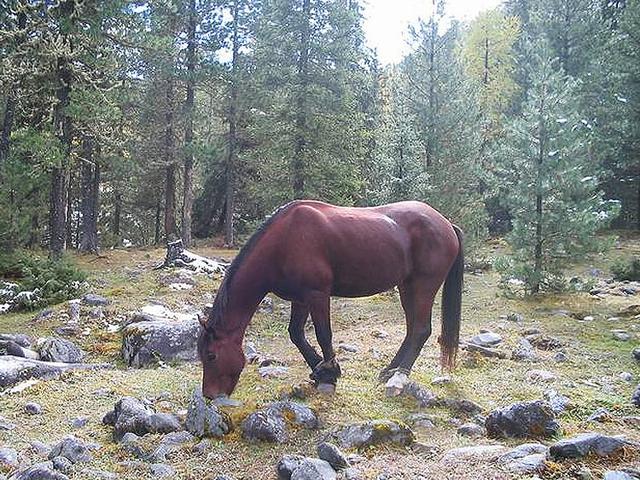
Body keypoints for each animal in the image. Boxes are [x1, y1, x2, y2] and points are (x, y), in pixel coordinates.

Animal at [197, 200, 463, 399]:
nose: (210, 395)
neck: (284, 241)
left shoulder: (317, 294)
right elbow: (296, 334)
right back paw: (388, 371)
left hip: (423, 286)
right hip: (406, 287)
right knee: (412, 331)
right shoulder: (300, 299)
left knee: (420, 330)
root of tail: (447, 224)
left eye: (211, 356)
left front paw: (329, 373)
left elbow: (324, 334)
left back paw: (397, 378)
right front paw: (320, 370)